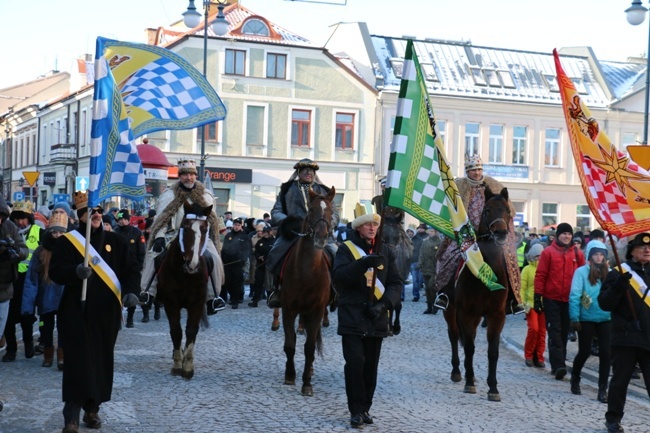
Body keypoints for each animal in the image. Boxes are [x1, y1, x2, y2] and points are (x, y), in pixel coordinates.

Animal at [154, 201, 210, 376]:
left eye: (205, 229)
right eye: (186, 227)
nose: (192, 264)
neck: (186, 275)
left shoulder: (197, 302)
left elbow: (191, 330)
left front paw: (188, 366)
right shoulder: (171, 303)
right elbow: (176, 331)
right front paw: (178, 364)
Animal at [280, 186, 336, 394]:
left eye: (331, 212)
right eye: (311, 210)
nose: (321, 238)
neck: (307, 271)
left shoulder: (317, 311)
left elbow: (310, 347)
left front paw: (307, 383)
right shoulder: (288, 309)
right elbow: (290, 344)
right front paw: (290, 375)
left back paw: (310, 370)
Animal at [442, 187, 508, 400]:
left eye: (507, 210)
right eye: (487, 210)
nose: (501, 232)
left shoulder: (496, 315)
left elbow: (493, 352)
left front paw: (493, 388)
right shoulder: (465, 313)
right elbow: (470, 347)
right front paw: (470, 382)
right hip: (450, 310)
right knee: (454, 336)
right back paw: (457, 372)